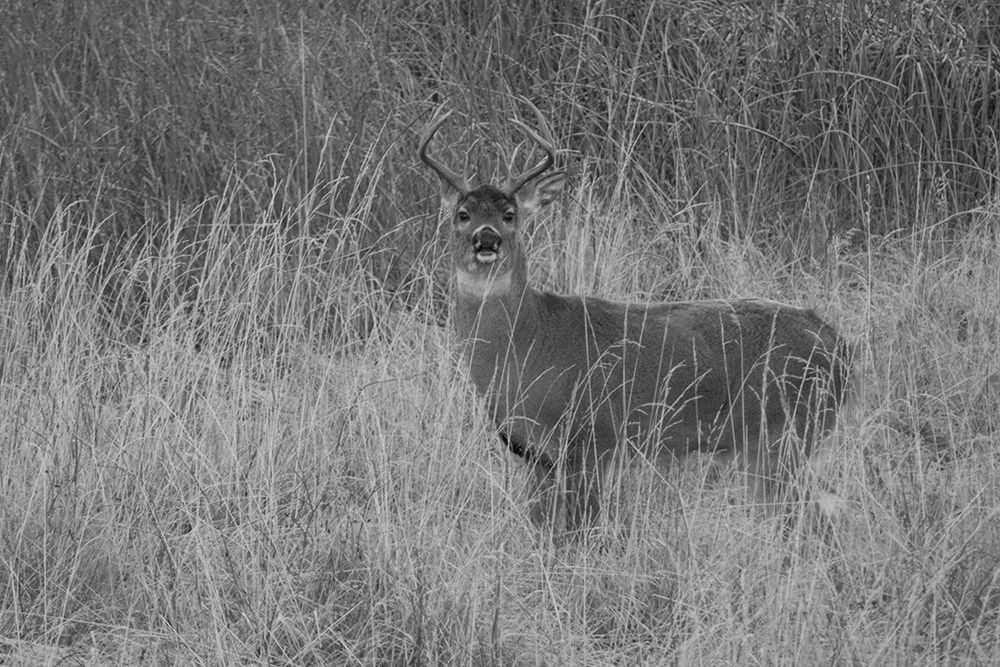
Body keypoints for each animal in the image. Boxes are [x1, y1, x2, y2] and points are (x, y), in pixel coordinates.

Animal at [418, 107, 852, 533]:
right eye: (462, 214)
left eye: (510, 215)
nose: (486, 239)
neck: (529, 343)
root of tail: (837, 343)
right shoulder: (537, 456)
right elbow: (543, 529)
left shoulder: (592, 440)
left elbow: (585, 530)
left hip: (784, 435)